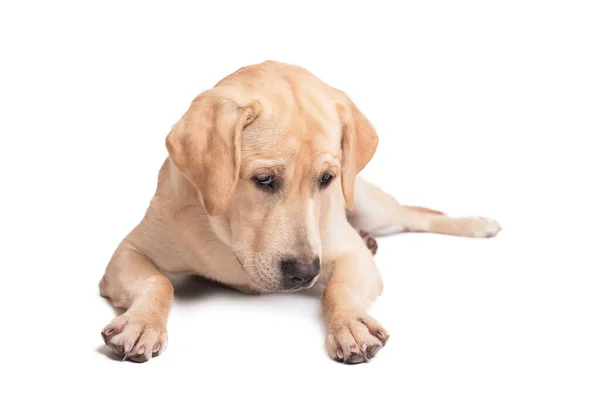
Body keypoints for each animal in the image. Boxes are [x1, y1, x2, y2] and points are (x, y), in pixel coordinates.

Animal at [99, 61, 502, 364]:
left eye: (326, 179)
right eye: (264, 179)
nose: (305, 273)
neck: (230, 241)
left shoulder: (349, 255)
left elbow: (337, 288)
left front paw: (350, 323)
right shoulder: (128, 252)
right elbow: (159, 282)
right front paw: (141, 323)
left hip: (371, 206)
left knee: (417, 214)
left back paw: (476, 223)